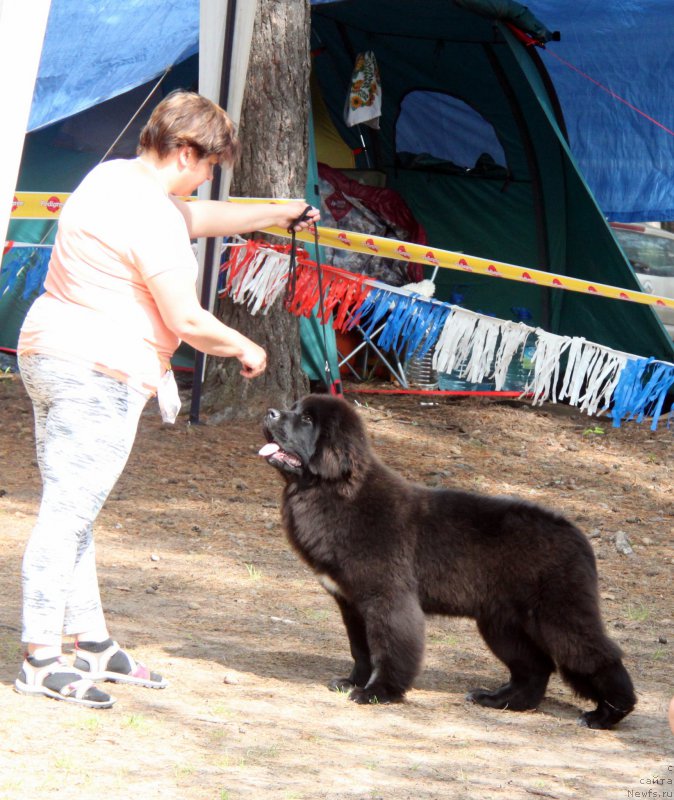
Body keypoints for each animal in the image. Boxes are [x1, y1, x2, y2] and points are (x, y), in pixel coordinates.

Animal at [258, 396, 636, 732]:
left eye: (307, 420)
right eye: (293, 408)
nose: (270, 412)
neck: (334, 492)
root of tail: (576, 534)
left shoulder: (387, 599)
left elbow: (387, 649)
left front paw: (378, 692)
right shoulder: (351, 603)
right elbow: (360, 649)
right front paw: (353, 682)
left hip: (560, 615)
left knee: (597, 656)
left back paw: (606, 714)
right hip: (502, 623)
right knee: (535, 668)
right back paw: (498, 700)